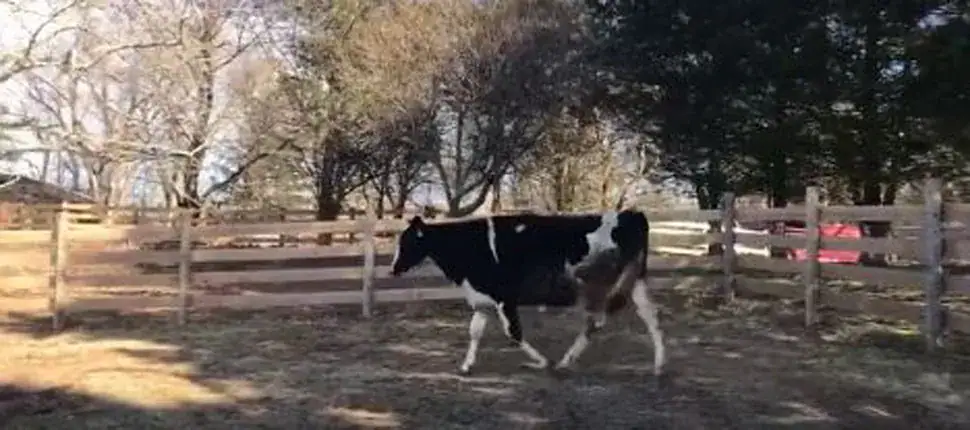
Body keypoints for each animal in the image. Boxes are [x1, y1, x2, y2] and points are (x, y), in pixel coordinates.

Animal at [388, 210, 666, 376]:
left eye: (407, 241)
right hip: (635, 281)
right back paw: (659, 365)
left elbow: (514, 333)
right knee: (651, 317)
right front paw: (466, 365)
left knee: (596, 322)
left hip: (596, 286)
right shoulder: (482, 300)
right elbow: (475, 331)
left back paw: (565, 361)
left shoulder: (504, 297)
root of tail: (631, 214)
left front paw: (542, 361)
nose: (393, 269)